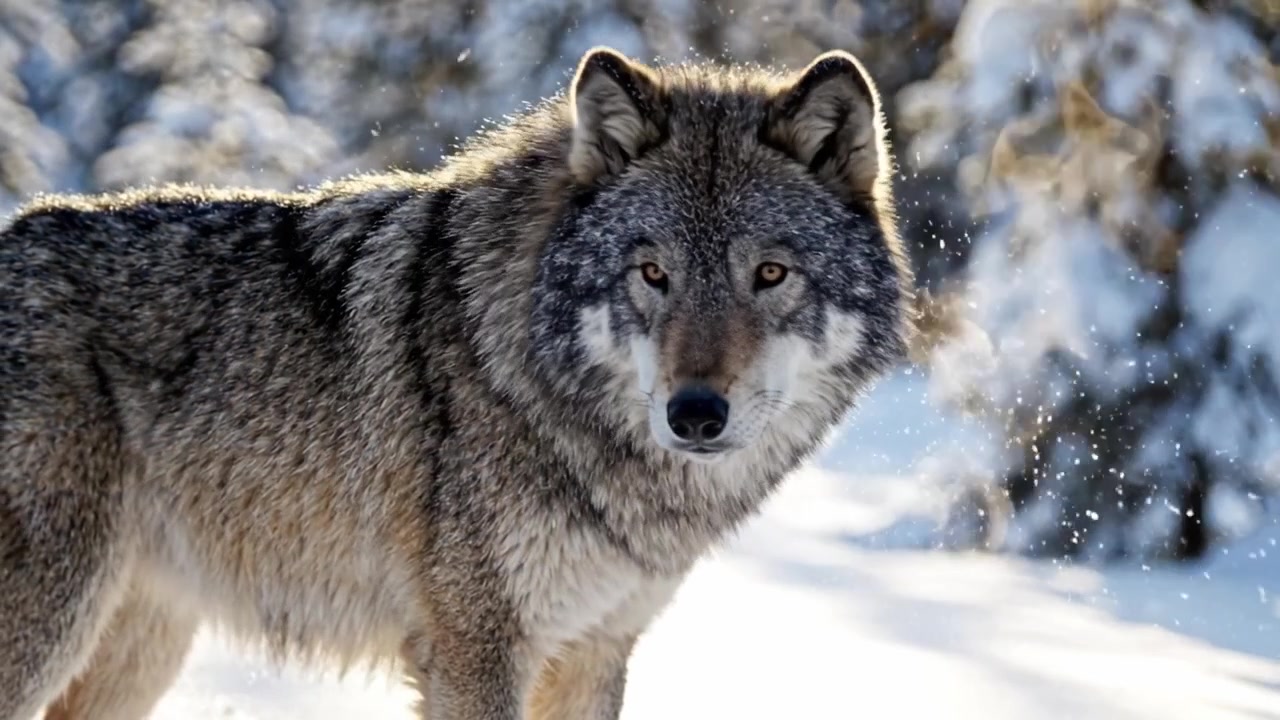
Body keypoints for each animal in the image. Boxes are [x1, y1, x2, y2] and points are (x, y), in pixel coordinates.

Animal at [0, 46, 914, 719]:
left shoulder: (595, 650)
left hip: (141, 643)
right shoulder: (475, 650)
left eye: (770, 274)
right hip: (56, 627)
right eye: (653, 273)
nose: (694, 414)